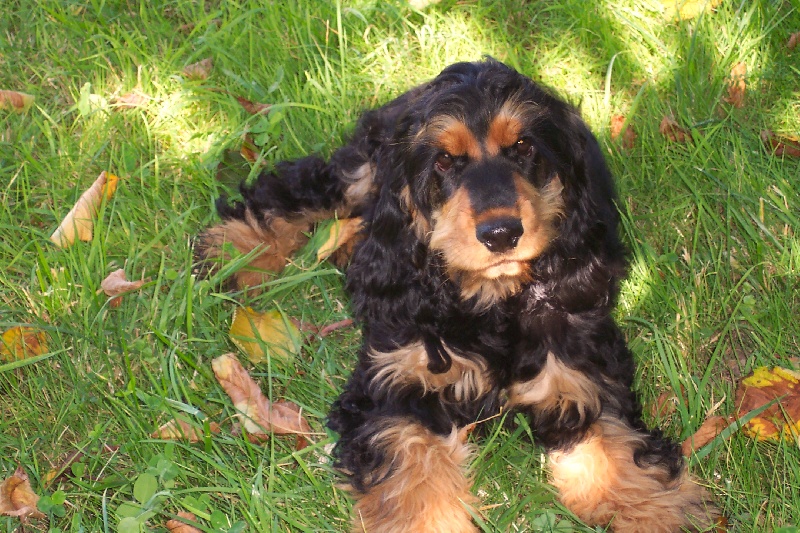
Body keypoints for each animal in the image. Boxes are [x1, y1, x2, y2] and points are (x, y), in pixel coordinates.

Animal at [197, 59, 720, 532]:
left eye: (523, 147)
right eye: (445, 160)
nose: (501, 233)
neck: (490, 302)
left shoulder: (581, 372)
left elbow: (616, 455)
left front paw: (654, 509)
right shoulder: (395, 380)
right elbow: (412, 464)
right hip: (365, 167)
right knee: (307, 186)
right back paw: (235, 249)